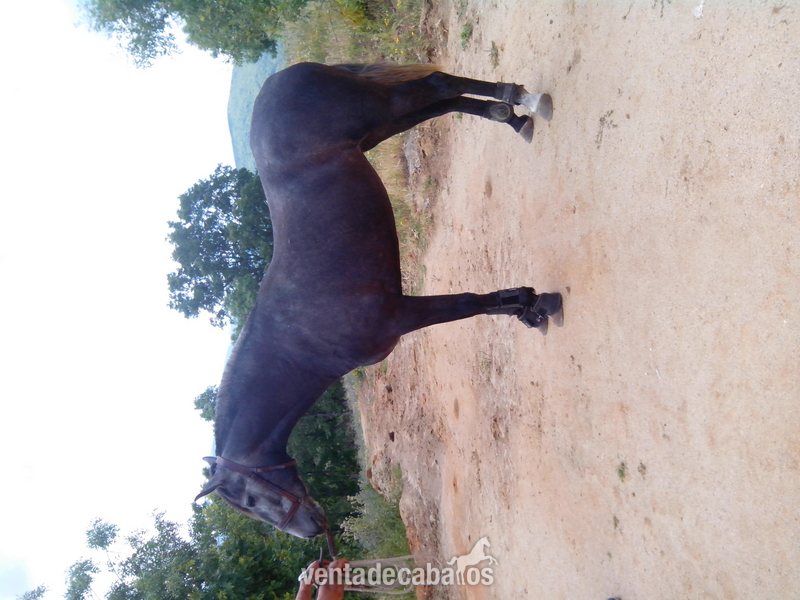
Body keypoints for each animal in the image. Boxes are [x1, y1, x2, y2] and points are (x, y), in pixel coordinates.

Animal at [194, 62, 562, 541]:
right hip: (380, 127)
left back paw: (518, 100)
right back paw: (512, 114)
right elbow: (483, 305)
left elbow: (470, 303)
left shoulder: (401, 315)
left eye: (251, 499)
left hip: (379, 110)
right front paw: (525, 308)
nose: (312, 531)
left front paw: (533, 303)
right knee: (441, 102)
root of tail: (288, 75)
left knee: (438, 86)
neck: (298, 340)